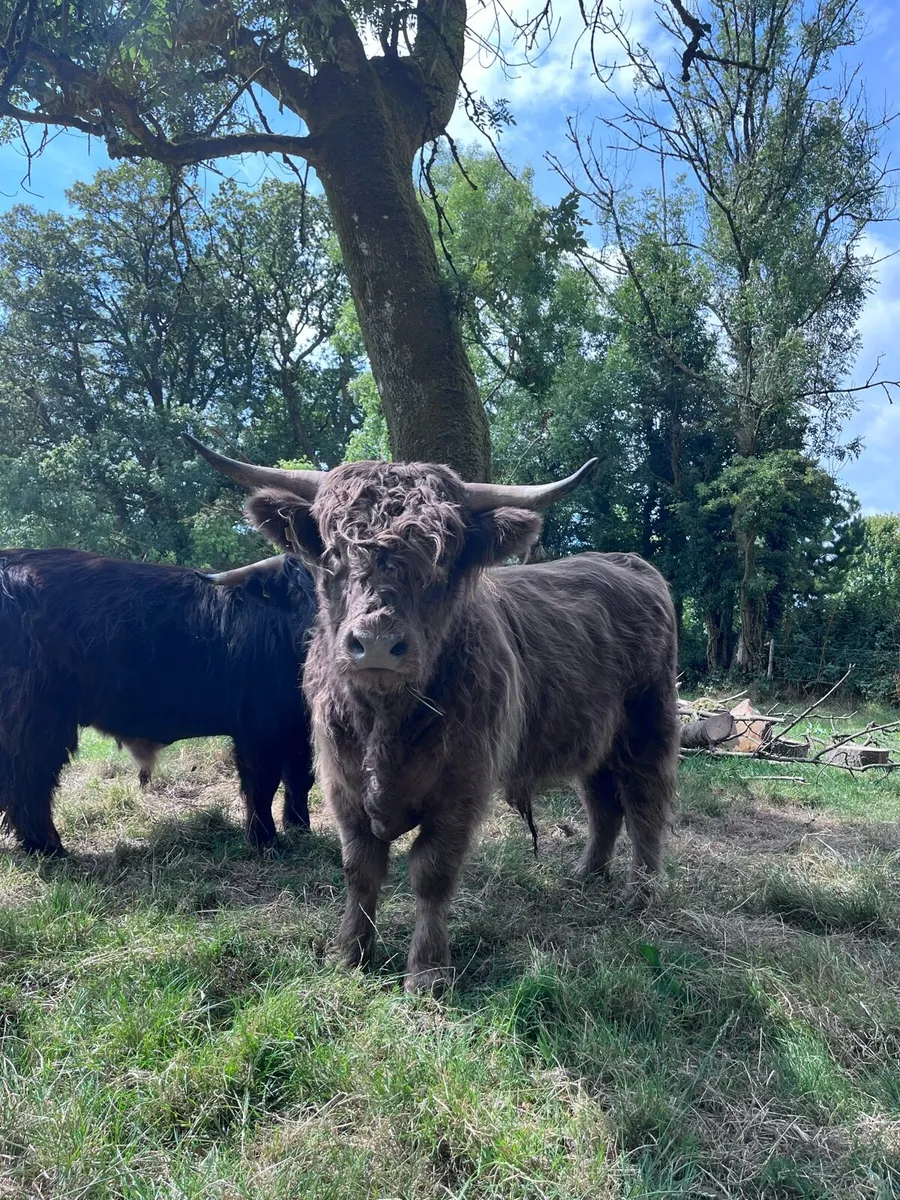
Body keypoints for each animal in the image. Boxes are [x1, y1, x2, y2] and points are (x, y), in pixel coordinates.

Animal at [0, 548, 316, 856]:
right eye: (297, 592)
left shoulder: (299, 727)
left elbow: (299, 778)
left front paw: (300, 829)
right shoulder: (257, 726)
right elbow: (262, 785)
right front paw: (265, 841)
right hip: (36, 716)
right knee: (30, 779)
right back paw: (48, 847)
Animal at [189, 437, 679, 993]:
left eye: (440, 559)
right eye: (333, 554)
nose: (378, 643)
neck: (384, 722)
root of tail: (630, 564)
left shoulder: (462, 788)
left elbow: (431, 873)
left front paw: (426, 973)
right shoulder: (341, 784)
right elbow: (360, 869)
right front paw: (350, 954)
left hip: (648, 723)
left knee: (644, 801)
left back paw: (641, 893)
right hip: (592, 736)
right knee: (602, 802)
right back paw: (586, 875)